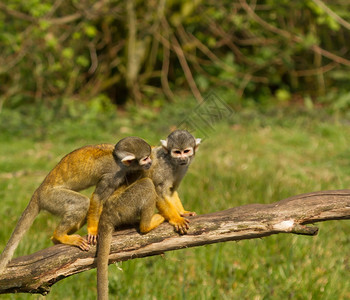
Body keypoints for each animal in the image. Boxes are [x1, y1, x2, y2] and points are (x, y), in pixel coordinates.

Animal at [0, 137, 151, 274]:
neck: (119, 161)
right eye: (145, 158)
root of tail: (38, 191)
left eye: (149, 157)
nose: (150, 162)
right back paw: (60, 235)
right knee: (82, 203)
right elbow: (97, 198)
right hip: (51, 198)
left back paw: (56, 239)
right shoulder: (113, 174)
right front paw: (93, 230)